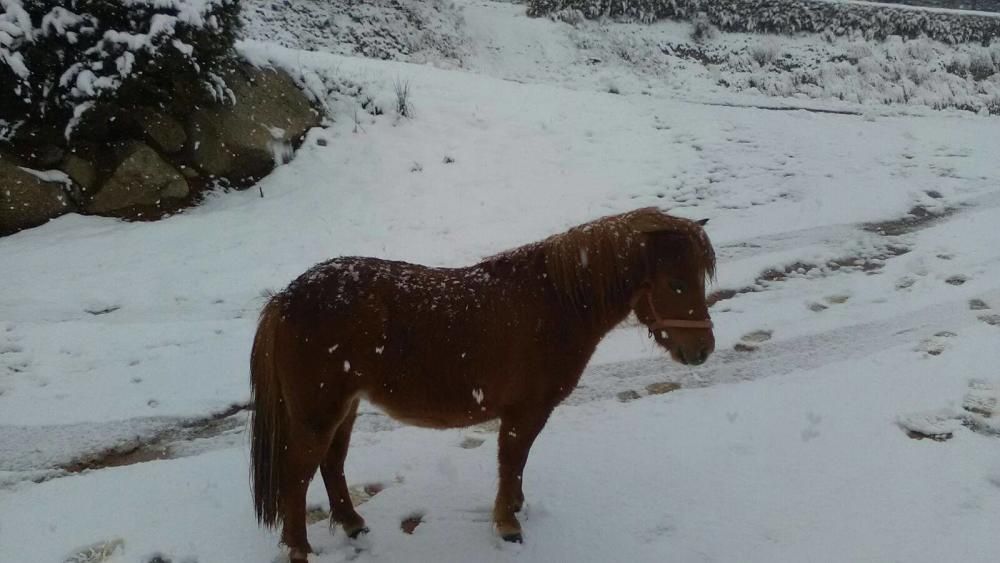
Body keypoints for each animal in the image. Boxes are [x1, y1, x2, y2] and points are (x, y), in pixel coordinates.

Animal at [254, 209, 716, 560]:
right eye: (676, 284)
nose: (704, 350)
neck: (554, 304)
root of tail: (286, 299)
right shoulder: (524, 411)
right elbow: (511, 461)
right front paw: (508, 525)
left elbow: (518, 464)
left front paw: (515, 508)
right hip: (318, 414)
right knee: (297, 477)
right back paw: (300, 550)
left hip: (345, 408)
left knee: (331, 465)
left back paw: (354, 526)